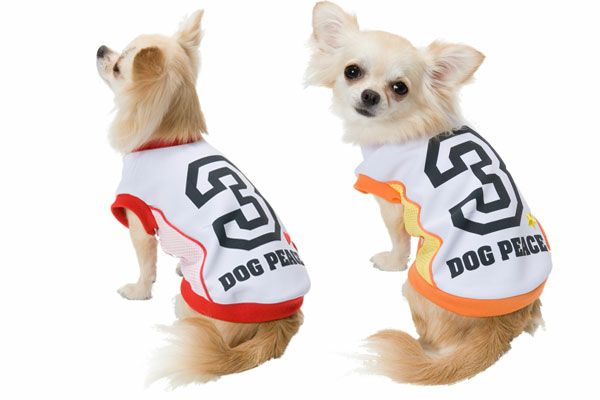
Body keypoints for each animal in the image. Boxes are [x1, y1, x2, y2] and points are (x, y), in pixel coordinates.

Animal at [97, 10, 310, 386]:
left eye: (119, 66)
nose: (101, 49)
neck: (169, 138)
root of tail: (278, 323)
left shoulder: (140, 221)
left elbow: (145, 264)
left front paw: (138, 291)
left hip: (189, 306)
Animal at [307, 1, 551, 384]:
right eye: (352, 72)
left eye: (400, 88)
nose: (370, 95)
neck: (408, 122)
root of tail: (499, 327)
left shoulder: (391, 199)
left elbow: (398, 238)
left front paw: (391, 261)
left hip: (414, 285)